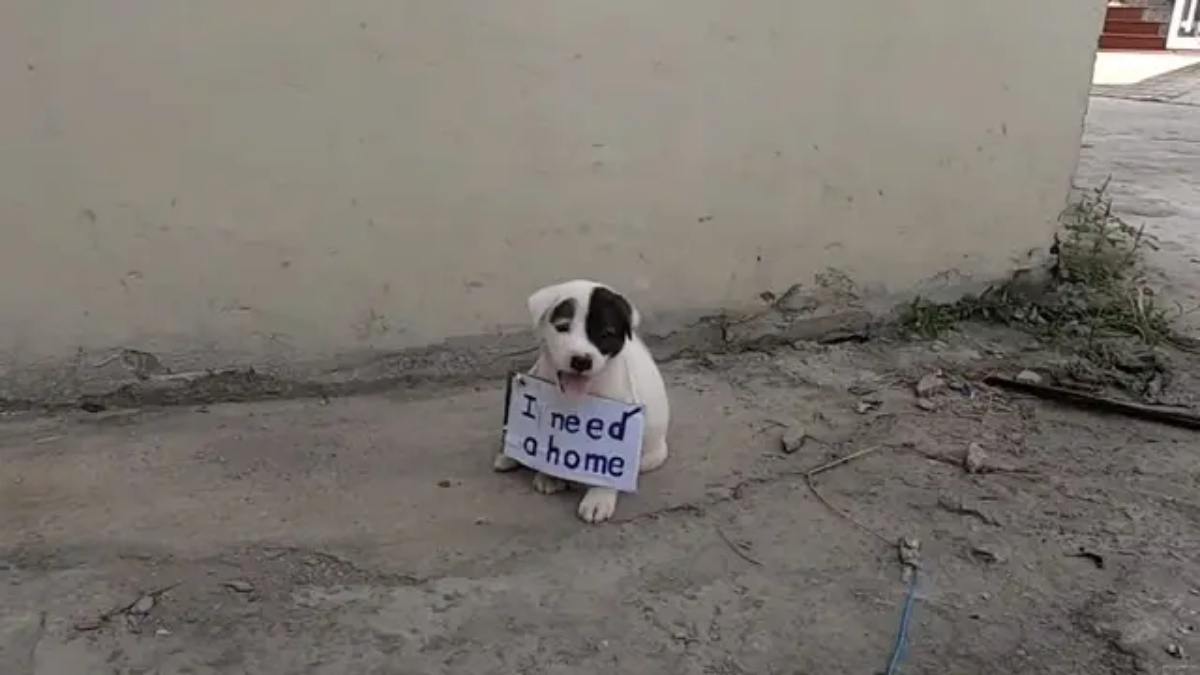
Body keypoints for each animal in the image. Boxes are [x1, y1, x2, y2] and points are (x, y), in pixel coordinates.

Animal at [492, 277, 672, 521]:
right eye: (562, 327)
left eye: (606, 334)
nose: (581, 361)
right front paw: (550, 474)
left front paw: (599, 498)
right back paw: (509, 456)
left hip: (650, 455)